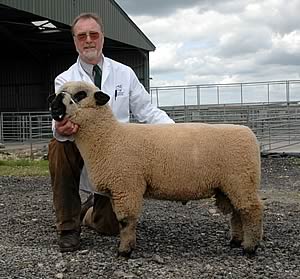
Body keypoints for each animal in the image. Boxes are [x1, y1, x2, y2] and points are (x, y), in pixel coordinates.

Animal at [49, 81, 262, 258]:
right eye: (59, 92)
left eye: (80, 95)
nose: (54, 105)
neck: (108, 137)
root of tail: (249, 133)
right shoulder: (121, 188)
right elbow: (124, 221)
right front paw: (128, 247)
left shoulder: (127, 185)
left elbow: (126, 221)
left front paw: (124, 251)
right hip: (230, 185)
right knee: (238, 213)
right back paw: (236, 241)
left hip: (241, 180)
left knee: (251, 210)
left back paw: (250, 248)